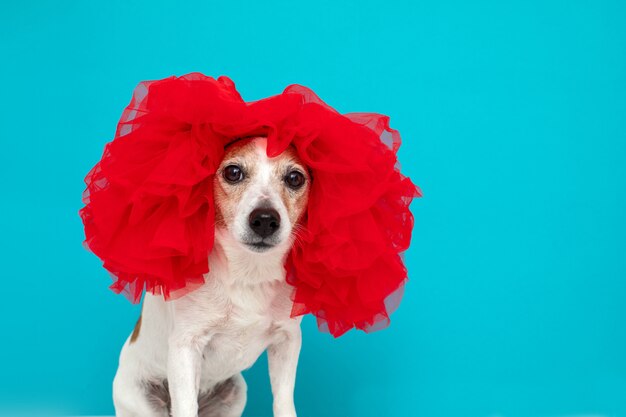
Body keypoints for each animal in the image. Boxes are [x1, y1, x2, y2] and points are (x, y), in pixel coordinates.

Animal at [111, 136, 310, 416]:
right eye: (233, 172)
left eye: (294, 178)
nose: (264, 219)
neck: (248, 271)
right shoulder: (186, 347)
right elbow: (186, 407)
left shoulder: (288, 340)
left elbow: (283, 402)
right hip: (140, 397)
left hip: (235, 393)